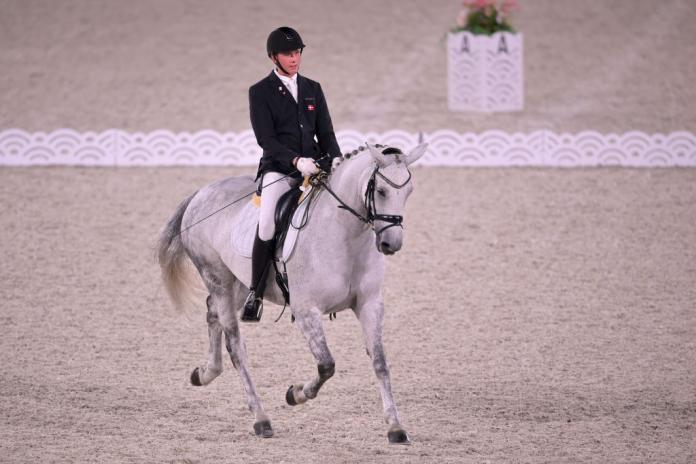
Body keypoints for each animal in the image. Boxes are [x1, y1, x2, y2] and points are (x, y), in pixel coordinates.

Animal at [158, 143, 426, 444]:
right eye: (380, 191)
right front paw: (295, 394)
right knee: (236, 346)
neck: (345, 234)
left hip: (239, 284)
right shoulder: (306, 311)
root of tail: (200, 193)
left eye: (409, 191)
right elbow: (326, 365)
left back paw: (205, 373)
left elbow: (380, 362)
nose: (392, 243)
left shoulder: (369, 305)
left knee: (212, 313)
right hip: (218, 279)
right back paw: (261, 419)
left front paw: (395, 427)